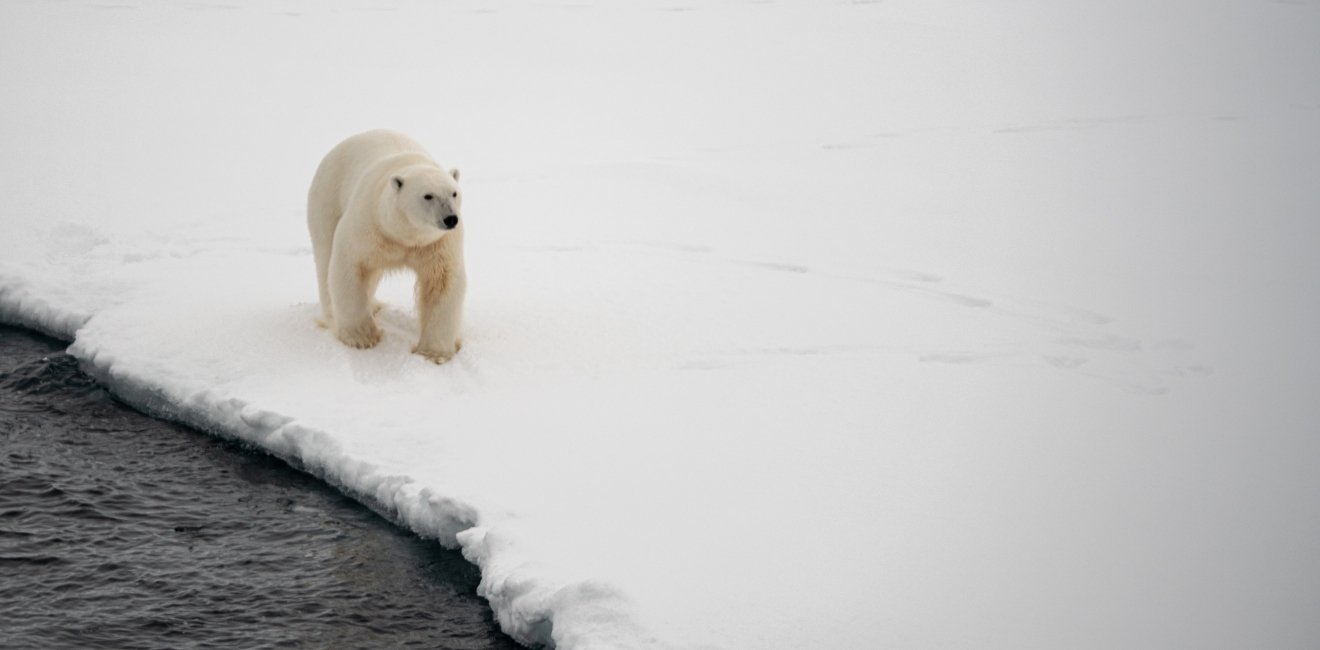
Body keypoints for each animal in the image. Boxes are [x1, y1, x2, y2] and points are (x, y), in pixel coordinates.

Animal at [306, 129, 467, 361]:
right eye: (428, 195)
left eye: (454, 193)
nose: (451, 218)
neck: (404, 235)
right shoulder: (368, 225)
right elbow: (349, 266)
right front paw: (361, 338)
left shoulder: (437, 244)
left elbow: (442, 282)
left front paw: (435, 353)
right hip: (327, 197)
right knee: (325, 255)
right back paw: (331, 318)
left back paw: (374, 305)